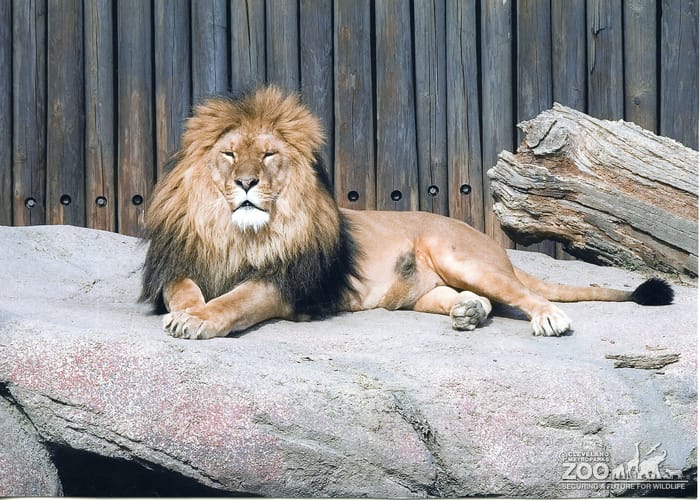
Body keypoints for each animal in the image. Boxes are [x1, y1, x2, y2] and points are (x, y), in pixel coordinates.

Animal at [141, 86, 673, 340]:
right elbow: (181, 291)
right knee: (472, 299)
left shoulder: (286, 281)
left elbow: (236, 300)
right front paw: (187, 312)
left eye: (269, 155)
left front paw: (200, 320)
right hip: (422, 292)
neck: (238, 233)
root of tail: (491, 243)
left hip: (460, 255)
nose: (246, 183)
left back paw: (549, 318)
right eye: (230, 154)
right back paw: (468, 311)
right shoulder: (180, 261)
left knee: (526, 294)